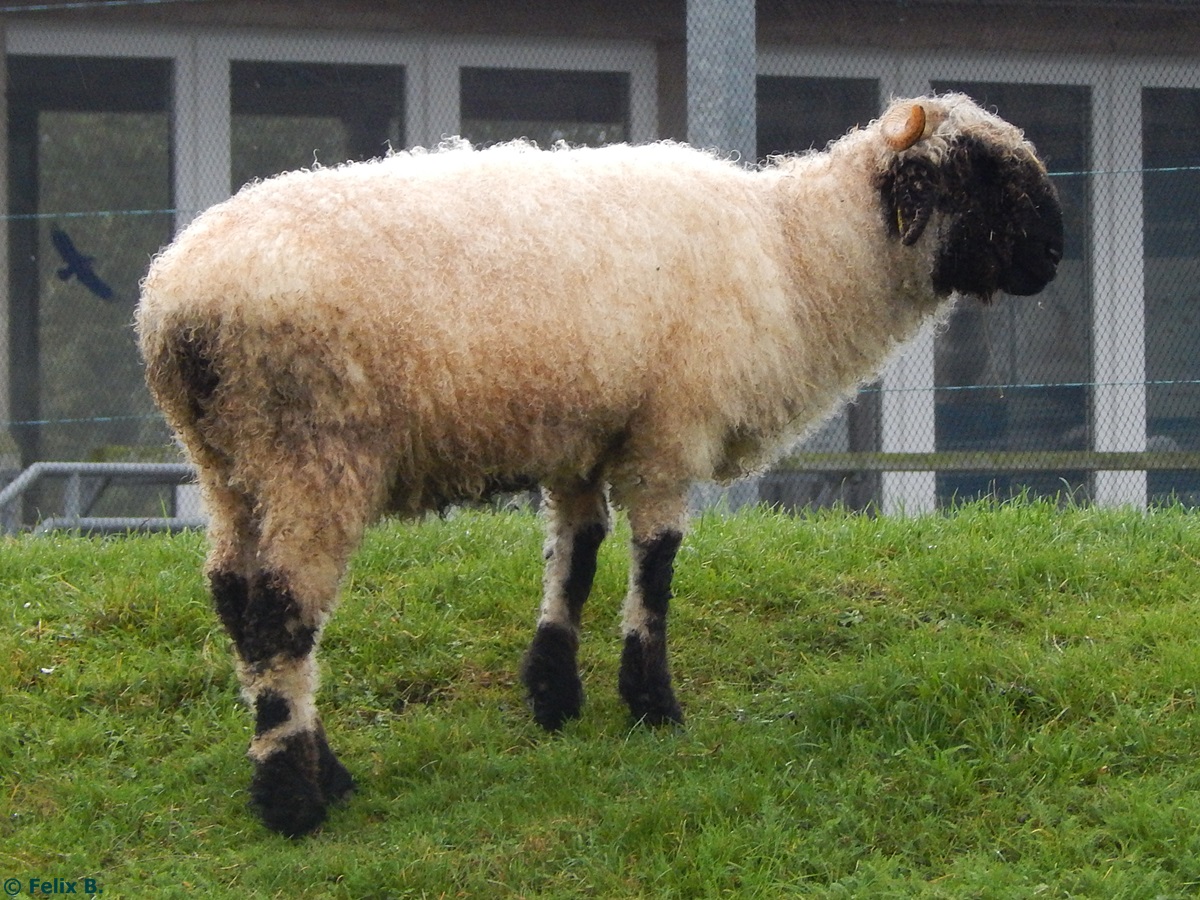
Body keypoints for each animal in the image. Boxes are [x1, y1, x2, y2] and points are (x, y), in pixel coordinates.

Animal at [136, 93, 1065, 840]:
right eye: (983, 173)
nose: (1055, 258)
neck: (796, 256)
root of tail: (176, 306)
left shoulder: (582, 437)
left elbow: (574, 559)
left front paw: (554, 696)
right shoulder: (667, 432)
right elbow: (654, 569)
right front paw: (652, 703)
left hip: (227, 465)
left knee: (235, 600)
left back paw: (320, 768)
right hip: (312, 454)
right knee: (280, 615)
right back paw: (293, 798)